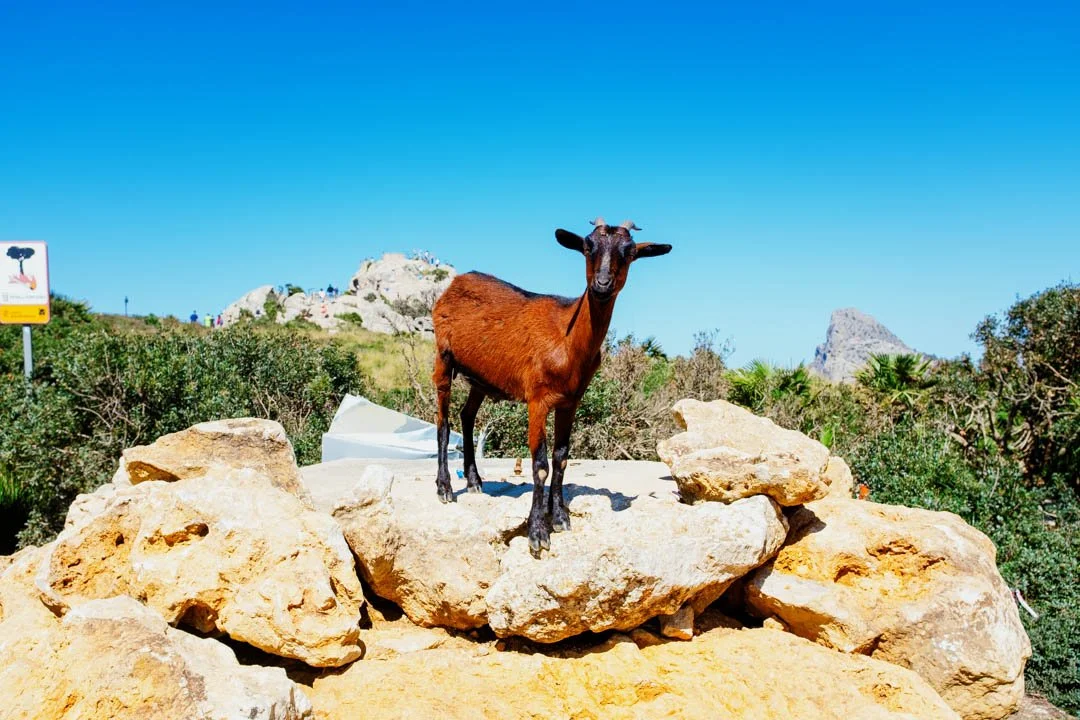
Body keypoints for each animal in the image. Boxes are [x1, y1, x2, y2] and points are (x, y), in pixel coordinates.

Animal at [431, 218, 672, 556]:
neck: (566, 340)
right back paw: (445, 487)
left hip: (481, 377)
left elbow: (561, 458)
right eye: (588, 246)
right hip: (443, 356)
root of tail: (454, 283)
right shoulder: (537, 399)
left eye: (629, 252)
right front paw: (537, 533)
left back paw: (475, 481)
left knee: (467, 415)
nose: (602, 284)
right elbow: (540, 464)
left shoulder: (571, 402)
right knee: (443, 419)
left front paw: (559, 517)